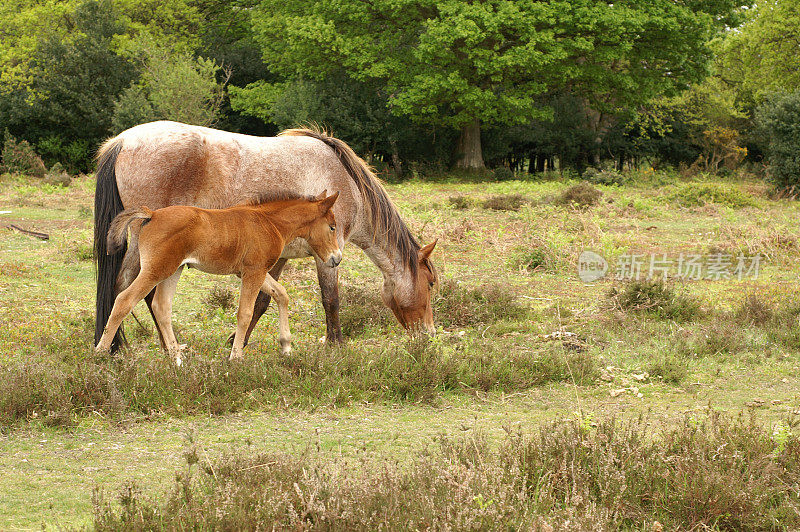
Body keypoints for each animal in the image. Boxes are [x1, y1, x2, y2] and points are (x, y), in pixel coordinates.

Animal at [96, 189, 340, 364]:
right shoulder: (254, 271)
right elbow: (245, 313)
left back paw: (177, 358)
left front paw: (286, 346)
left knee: (161, 307)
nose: (336, 258)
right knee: (124, 300)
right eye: (332, 227)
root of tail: (152, 214)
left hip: (174, 270)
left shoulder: (254, 271)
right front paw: (236, 356)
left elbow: (281, 294)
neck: (268, 222)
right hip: (156, 270)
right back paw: (100, 353)